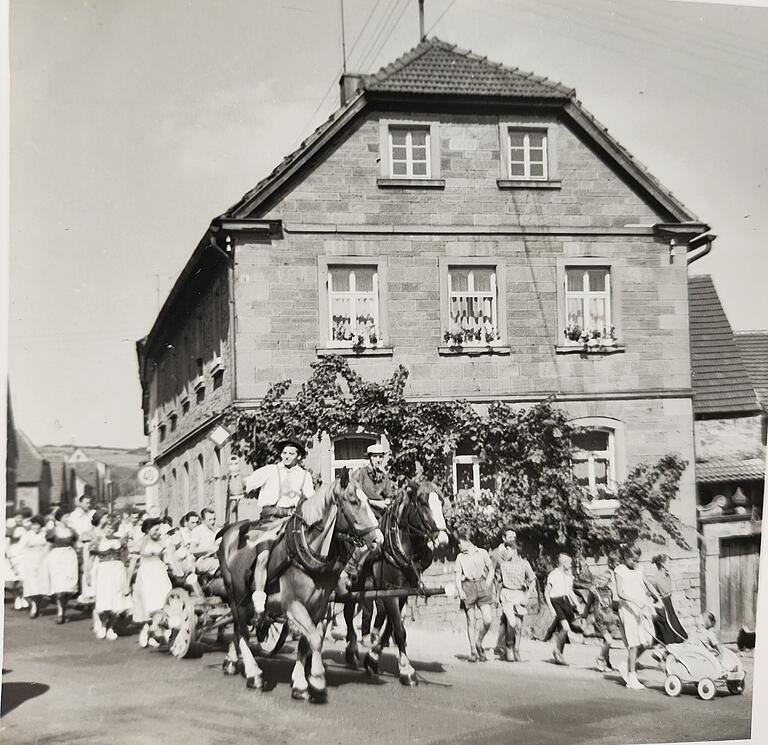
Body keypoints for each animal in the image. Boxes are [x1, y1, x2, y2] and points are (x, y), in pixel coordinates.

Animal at [216, 468, 384, 700]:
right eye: (354, 501)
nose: (378, 540)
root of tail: (230, 529)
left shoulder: (318, 606)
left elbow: (307, 642)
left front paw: (300, 683)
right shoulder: (293, 604)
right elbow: (314, 637)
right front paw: (317, 677)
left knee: (238, 628)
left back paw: (232, 662)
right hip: (235, 594)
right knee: (241, 629)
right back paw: (253, 674)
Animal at [342, 480, 450, 684]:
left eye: (441, 502)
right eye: (423, 503)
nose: (443, 539)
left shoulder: (402, 592)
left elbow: (392, 627)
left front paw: (373, 658)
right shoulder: (389, 590)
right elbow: (399, 630)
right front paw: (407, 670)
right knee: (347, 614)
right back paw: (351, 651)